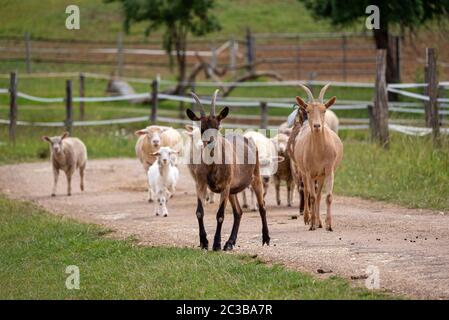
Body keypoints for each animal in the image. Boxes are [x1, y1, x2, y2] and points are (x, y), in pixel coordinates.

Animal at [186, 89, 270, 250]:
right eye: (202, 128)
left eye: (217, 126)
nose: (210, 142)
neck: (213, 166)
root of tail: (247, 139)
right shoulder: (200, 184)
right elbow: (199, 212)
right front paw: (204, 242)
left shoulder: (224, 186)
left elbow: (220, 215)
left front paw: (216, 244)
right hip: (232, 190)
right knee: (238, 212)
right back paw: (230, 243)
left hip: (255, 178)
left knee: (262, 206)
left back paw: (266, 239)